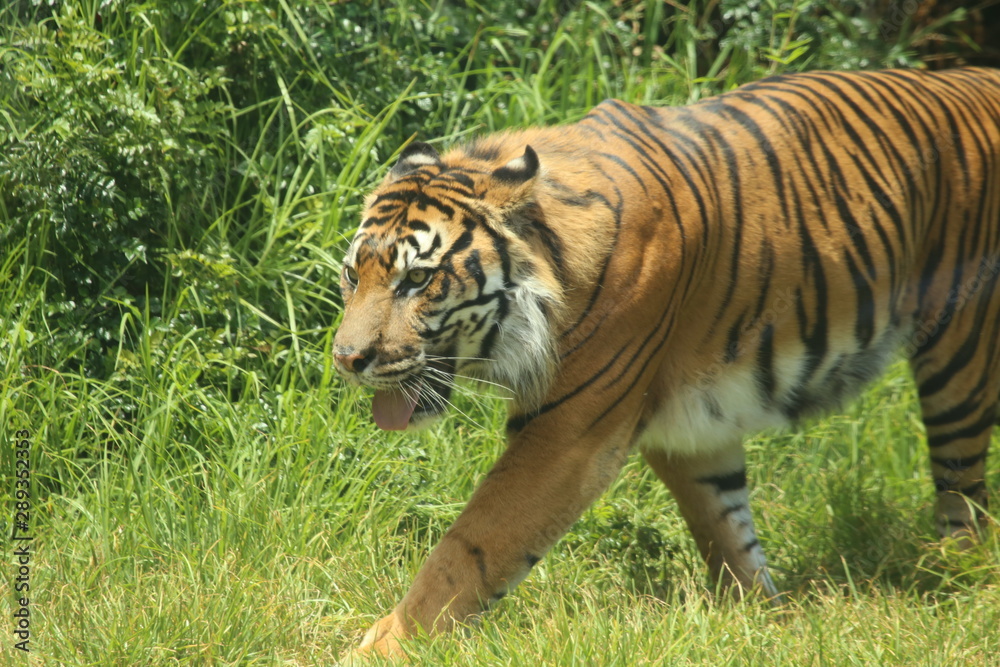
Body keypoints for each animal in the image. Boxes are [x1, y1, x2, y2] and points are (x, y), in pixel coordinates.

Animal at [333, 67, 1000, 658]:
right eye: (352, 275)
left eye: (418, 280)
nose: (346, 359)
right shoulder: (693, 423)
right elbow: (724, 526)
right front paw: (760, 620)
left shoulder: (568, 431)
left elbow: (474, 542)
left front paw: (387, 646)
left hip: (960, 353)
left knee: (964, 495)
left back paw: (955, 587)